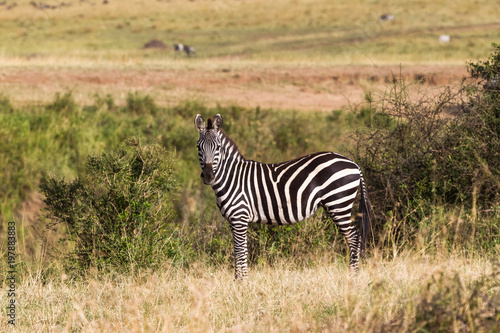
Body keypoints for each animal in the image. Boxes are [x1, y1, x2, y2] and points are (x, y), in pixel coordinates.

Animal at [193, 113, 374, 278]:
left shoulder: (240, 217)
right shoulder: (233, 220)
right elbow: (240, 251)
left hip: (339, 204)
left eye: (217, 147)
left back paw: (352, 277)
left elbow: (240, 251)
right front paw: (240, 280)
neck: (232, 177)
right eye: (198, 147)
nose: (208, 176)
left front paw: (241, 282)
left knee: (354, 237)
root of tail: (354, 164)